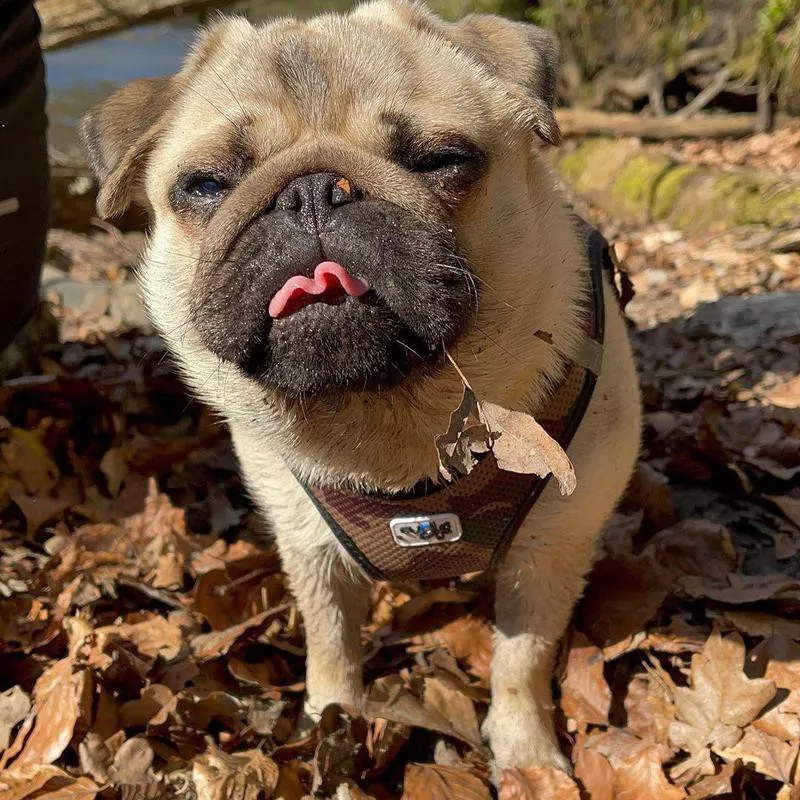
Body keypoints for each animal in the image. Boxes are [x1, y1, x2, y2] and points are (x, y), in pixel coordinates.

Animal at [81, 1, 640, 776]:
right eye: (206, 185)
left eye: (443, 161)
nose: (312, 191)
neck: (393, 422)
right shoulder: (312, 550)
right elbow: (330, 646)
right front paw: (330, 720)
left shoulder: (549, 555)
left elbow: (520, 663)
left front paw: (528, 757)